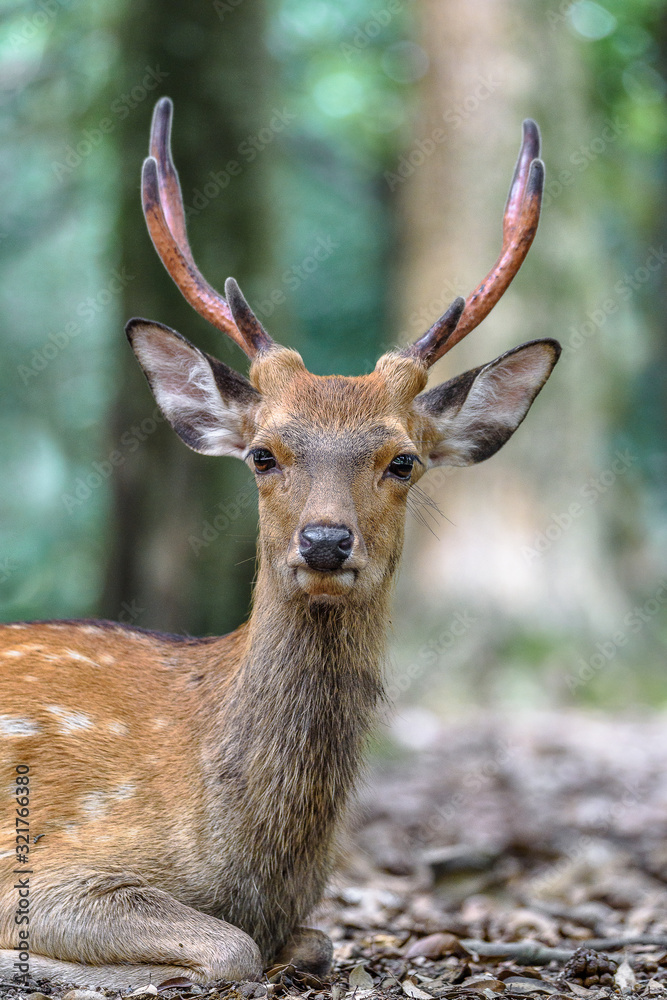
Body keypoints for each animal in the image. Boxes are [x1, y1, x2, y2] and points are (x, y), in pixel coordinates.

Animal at [0, 97, 560, 990]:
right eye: (263, 454)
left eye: (401, 459)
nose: (326, 542)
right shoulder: (52, 863)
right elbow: (231, 948)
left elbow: (309, 940)